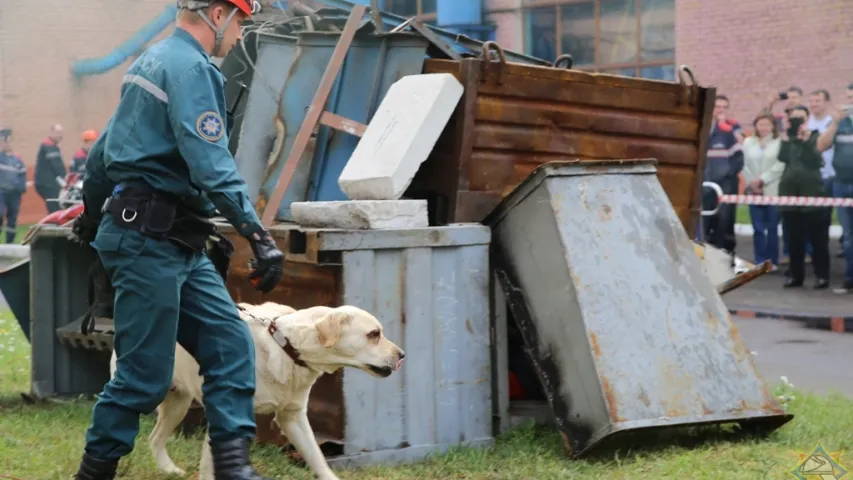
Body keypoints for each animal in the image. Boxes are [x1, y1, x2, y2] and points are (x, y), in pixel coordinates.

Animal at [109, 304, 406, 480]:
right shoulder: (225, 415)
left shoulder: (293, 417)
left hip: (178, 403)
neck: (286, 346)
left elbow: (318, 458)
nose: (402, 355)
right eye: (373, 334)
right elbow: (209, 465)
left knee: (155, 438)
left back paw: (168, 469)